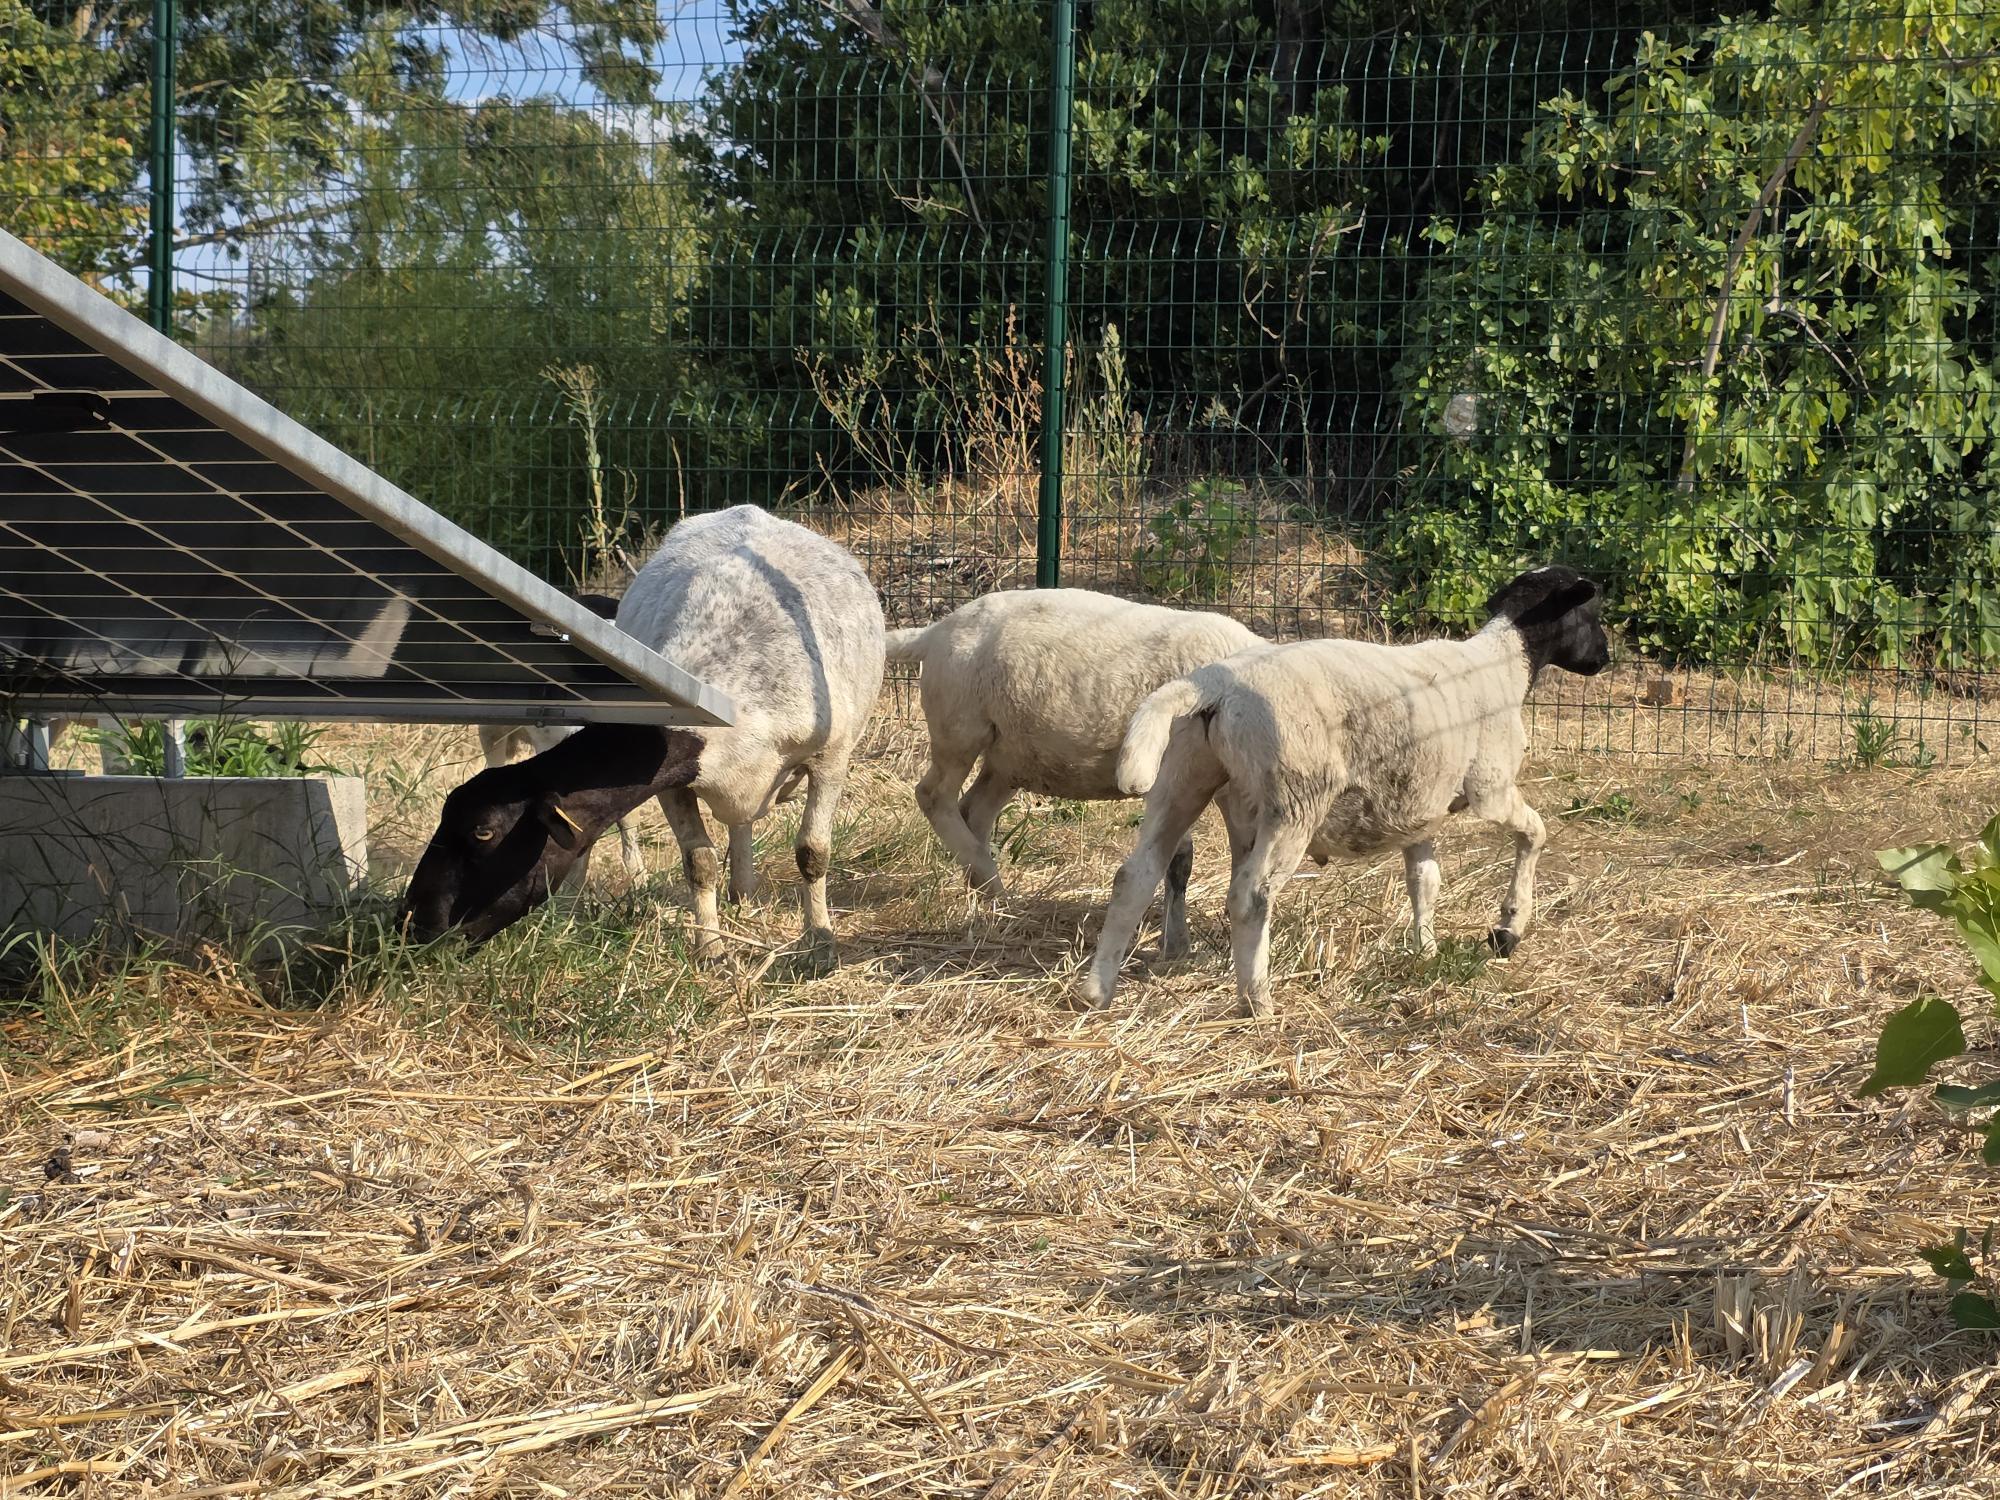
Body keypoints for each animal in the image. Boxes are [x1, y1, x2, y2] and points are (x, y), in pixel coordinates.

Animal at [401, 505, 886, 955]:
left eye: (484, 832)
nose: (414, 927)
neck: (733, 692)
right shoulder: (676, 782)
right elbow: (699, 861)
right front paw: (710, 948)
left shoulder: (831, 759)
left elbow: (812, 854)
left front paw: (819, 940)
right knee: (737, 825)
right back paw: (739, 892)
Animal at [888, 588, 1261, 954]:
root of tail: (936, 631)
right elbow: (1178, 860)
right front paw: (1176, 945)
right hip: (960, 725)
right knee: (934, 795)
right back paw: (991, 883)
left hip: (1010, 757)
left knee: (974, 809)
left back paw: (986, 889)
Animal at [1077, 565, 1610, 1018]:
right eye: (1592, 612)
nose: (1605, 659)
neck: (1504, 666)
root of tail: (1211, 685)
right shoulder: (1491, 787)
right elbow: (1534, 834)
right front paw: (1507, 929)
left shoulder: (1419, 807)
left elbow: (1425, 881)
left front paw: (1426, 950)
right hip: (1296, 799)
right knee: (1251, 896)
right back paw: (1258, 1002)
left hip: (1182, 776)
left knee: (1135, 877)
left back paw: (1097, 992)